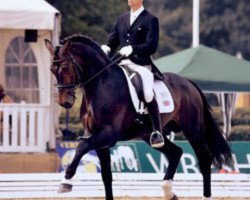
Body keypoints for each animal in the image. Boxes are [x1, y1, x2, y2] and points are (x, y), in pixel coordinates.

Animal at [44, 35, 232, 199]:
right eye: (52, 70)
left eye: (65, 68)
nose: (65, 102)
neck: (101, 85)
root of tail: (189, 83)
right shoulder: (99, 140)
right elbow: (106, 176)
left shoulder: (108, 135)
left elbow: (81, 147)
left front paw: (66, 181)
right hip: (149, 135)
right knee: (176, 152)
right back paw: (168, 192)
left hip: (193, 130)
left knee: (204, 159)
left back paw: (204, 196)